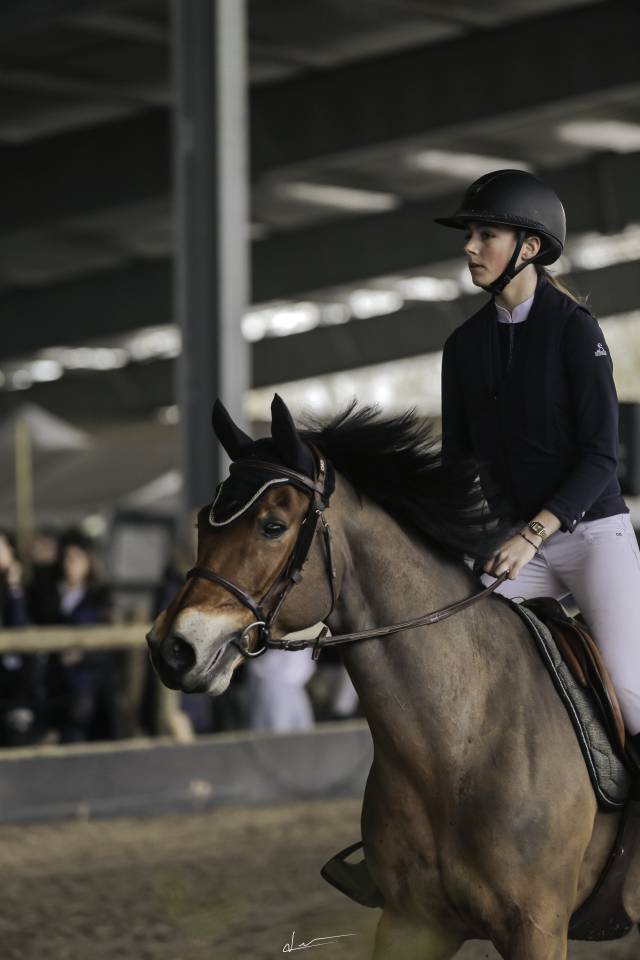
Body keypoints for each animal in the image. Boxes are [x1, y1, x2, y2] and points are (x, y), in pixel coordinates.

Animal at [147, 393, 639, 959]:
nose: (173, 648)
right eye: (203, 523)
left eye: (272, 525)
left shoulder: (537, 929)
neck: (462, 738)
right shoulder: (411, 922)